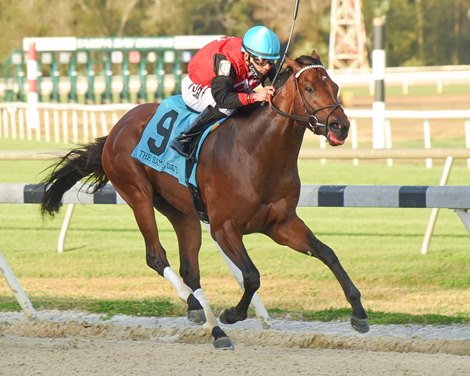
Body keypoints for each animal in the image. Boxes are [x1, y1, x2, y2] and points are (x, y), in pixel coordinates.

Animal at [40, 50, 370, 350]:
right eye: (310, 88)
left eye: (335, 86)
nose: (341, 126)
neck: (258, 151)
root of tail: (114, 130)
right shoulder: (224, 228)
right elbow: (251, 276)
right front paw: (233, 313)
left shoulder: (281, 224)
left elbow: (327, 253)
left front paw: (359, 313)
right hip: (137, 193)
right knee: (156, 256)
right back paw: (199, 310)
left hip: (181, 211)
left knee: (190, 271)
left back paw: (213, 328)